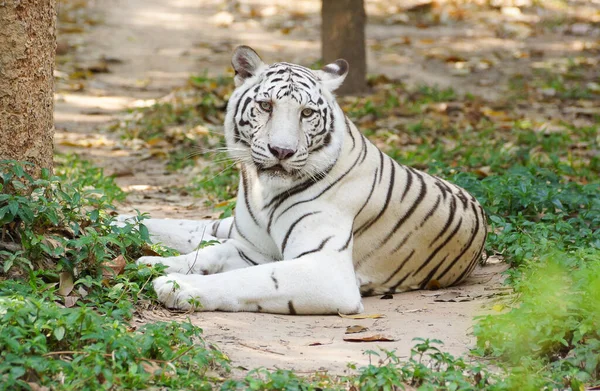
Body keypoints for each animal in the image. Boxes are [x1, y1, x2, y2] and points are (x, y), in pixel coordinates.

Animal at [136, 45, 488, 316]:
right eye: (266, 105)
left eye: (306, 113)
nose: (282, 151)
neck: (265, 192)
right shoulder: (255, 248)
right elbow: (217, 253)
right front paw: (158, 265)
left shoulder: (325, 269)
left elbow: (253, 279)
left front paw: (176, 286)